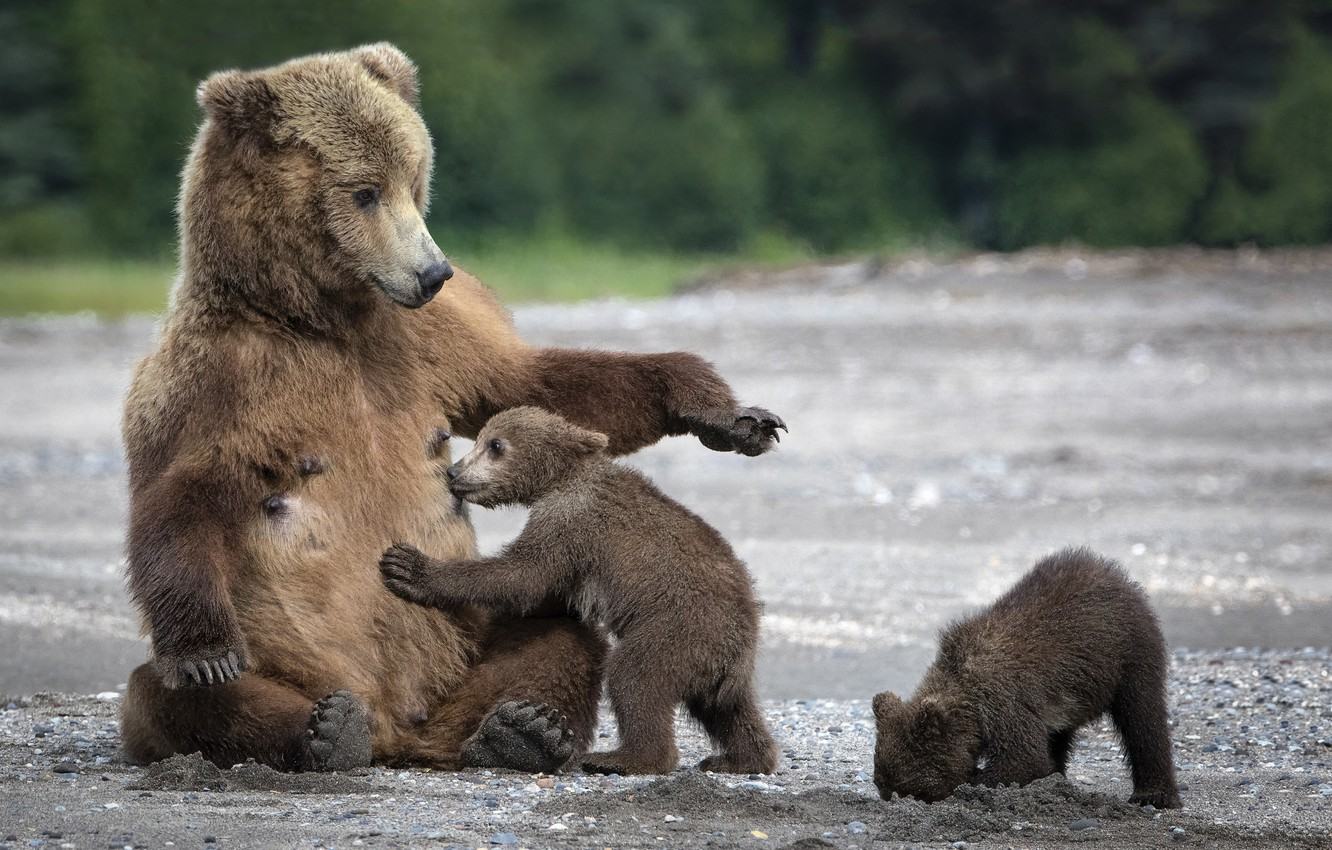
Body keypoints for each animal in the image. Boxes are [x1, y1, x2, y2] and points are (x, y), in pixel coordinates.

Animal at [119, 46, 783, 778]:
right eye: (365, 191)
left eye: (414, 181)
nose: (434, 271)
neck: (324, 320)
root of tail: (401, 734)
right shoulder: (221, 377)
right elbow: (180, 495)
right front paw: (206, 652)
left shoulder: (428, 342)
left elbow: (533, 384)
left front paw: (729, 414)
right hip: (291, 663)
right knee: (168, 696)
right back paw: (325, 731)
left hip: (465, 656)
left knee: (559, 636)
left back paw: (520, 731)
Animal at [873, 548, 1177, 810]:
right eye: (883, 786)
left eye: (914, 790)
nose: (894, 798)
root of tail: (1115, 574)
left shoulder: (1003, 700)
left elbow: (1022, 758)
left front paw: (977, 780)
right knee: (1059, 735)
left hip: (1129, 653)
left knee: (1142, 718)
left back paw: (1153, 794)